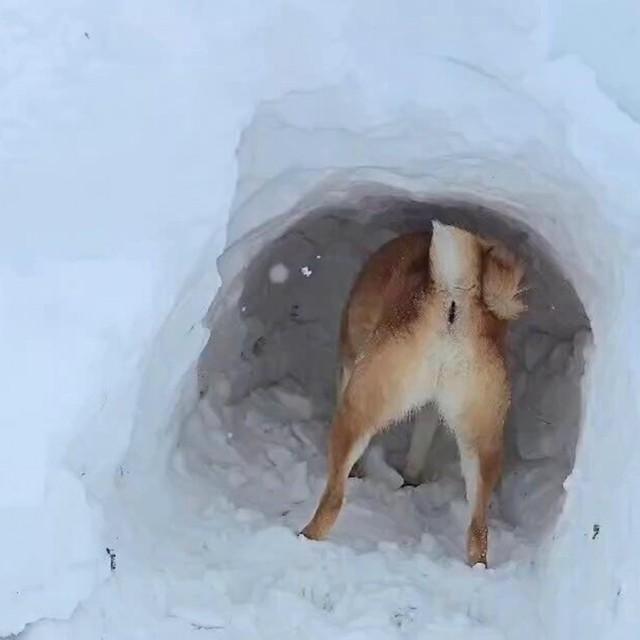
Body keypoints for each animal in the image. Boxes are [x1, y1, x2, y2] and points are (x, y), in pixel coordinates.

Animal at [300, 220, 524, 564]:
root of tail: (453, 295)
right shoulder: (432, 410)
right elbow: (420, 445)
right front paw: (410, 480)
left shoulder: (348, 367)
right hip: (483, 441)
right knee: (478, 532)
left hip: (358, 407)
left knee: (334, 500)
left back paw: (303, 538)